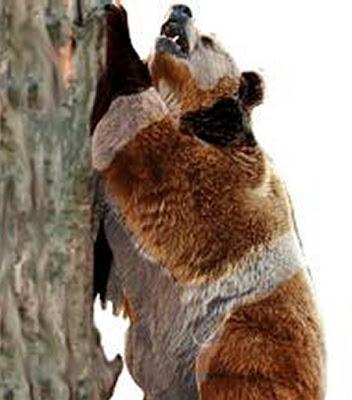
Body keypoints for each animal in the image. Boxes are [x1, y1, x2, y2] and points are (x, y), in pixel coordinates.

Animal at [90, 3, 324, 400]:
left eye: (210, 39)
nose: (181, 8)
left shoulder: (225, 182)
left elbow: (155, 159)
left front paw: (116, 23)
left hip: (244, 334)